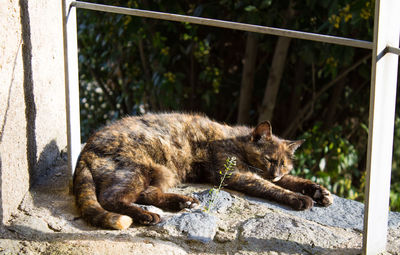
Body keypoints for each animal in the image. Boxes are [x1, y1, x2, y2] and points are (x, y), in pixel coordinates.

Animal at [73, 112, 332, 230]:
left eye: (284, 164)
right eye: (269, 159)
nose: (276, 171)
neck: (237, 139)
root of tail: (87, 147)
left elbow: (292, 180)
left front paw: (318, 191)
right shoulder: (237, 174)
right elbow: (271, 187)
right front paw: (300, 198)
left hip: (163, 172)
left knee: (148, 193)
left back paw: (183, 202)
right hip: (136, 169)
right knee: (111, 198)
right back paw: (146, 215)